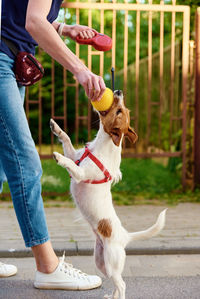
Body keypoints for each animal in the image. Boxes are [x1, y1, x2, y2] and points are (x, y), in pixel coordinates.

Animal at [50, 91, 167, 299]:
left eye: (120, 111)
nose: (119, 91)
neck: (101, 146)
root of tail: (125, 237)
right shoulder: (75, 155)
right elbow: (67, 140)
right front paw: (56, 127)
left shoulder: (79, 173)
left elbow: (69, 163)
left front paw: (59, 157)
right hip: (101, 262)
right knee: (115, 284)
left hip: (112, 263)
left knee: (122, 284)